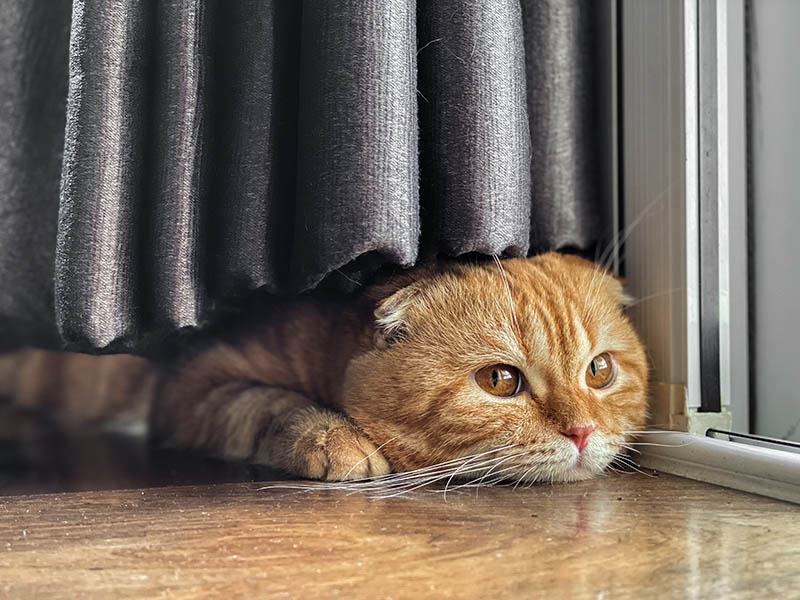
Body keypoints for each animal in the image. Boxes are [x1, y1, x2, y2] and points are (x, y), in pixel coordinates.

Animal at [0, 252, 648, 482]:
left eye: (599, 372)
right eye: (499, 381)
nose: (583, 432)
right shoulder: (195, 385)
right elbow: (268, 402)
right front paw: (335, 440)